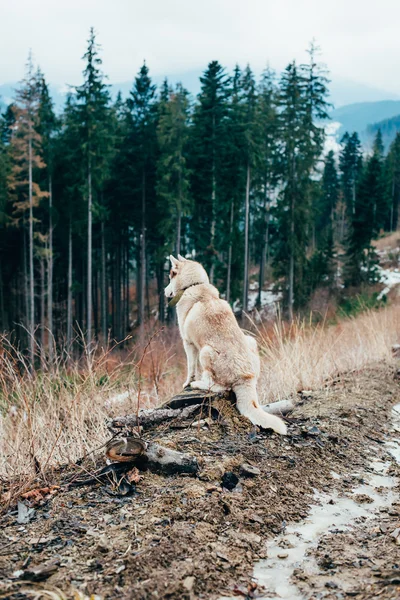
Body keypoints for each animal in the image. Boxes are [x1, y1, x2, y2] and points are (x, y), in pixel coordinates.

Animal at [163, 254, 288, 436]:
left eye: (170, 276)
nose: (164, 291)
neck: (195, 285)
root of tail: (246, 377)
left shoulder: (189, 344)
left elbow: (191, 368)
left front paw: (188, 382)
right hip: (250, 340)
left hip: (205, 351)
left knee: (216, 387)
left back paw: (198, 384)